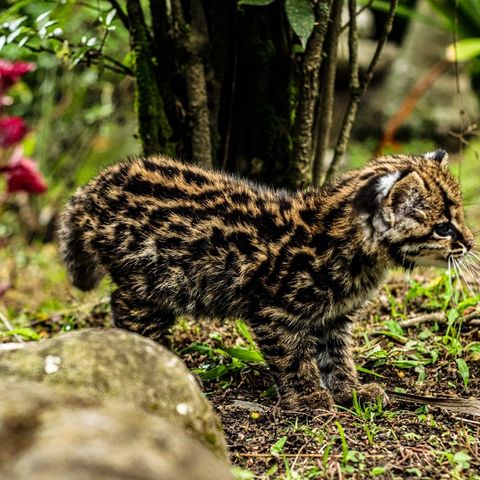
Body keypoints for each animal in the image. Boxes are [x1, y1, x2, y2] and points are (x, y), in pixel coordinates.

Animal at [59, 150, 472, 408]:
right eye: (443, 228)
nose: (469, 243)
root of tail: (96, 186)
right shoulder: (275, 312)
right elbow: (293, 359)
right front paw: (308, 399)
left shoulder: (334, 317)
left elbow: (337, 357)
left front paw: (350, 391)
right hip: (148, 282)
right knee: (127, 313)